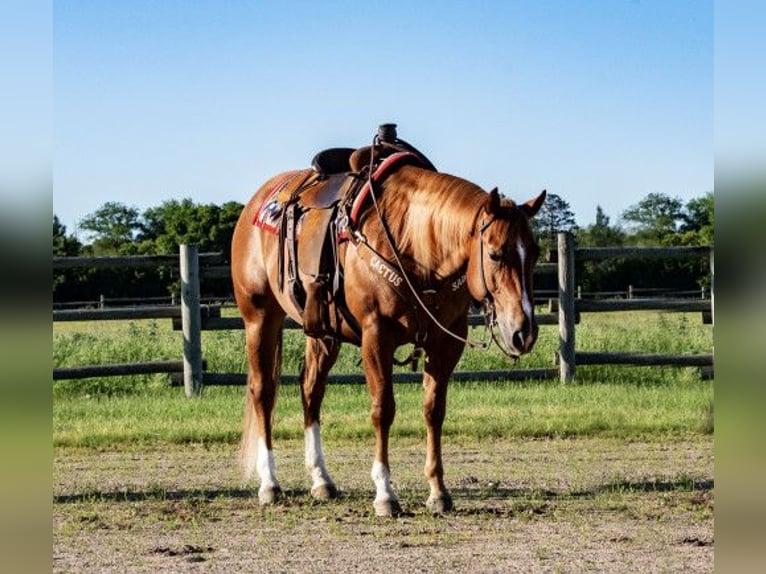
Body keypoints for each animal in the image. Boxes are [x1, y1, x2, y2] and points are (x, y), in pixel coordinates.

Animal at [232, 127, 544, 516]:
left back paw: (321, 479)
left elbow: (434, 410)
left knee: (311, 390)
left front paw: (438, 491)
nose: (523, 331)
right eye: (496, 253)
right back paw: (269, 484)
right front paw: (384, 493)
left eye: (535, 253)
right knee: (264, 392)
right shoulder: (375, 335)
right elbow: (383, 409)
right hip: (260, 318)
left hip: (322, 331)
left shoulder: (446, 340)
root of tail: (257, 203)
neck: (418, 245)